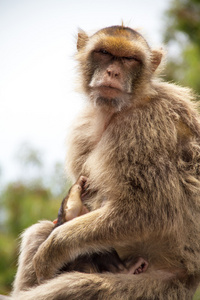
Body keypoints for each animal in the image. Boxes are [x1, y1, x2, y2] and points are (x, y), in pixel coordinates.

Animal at [11, 25, 200, 300]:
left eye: (129, 59)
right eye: (104, 53)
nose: (113, 72)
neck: (117, 111)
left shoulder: (143, 130)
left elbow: (148, 211)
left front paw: (52, 250)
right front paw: (71, 208)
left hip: (159, 287)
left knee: (77, 286)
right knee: (40, 232)